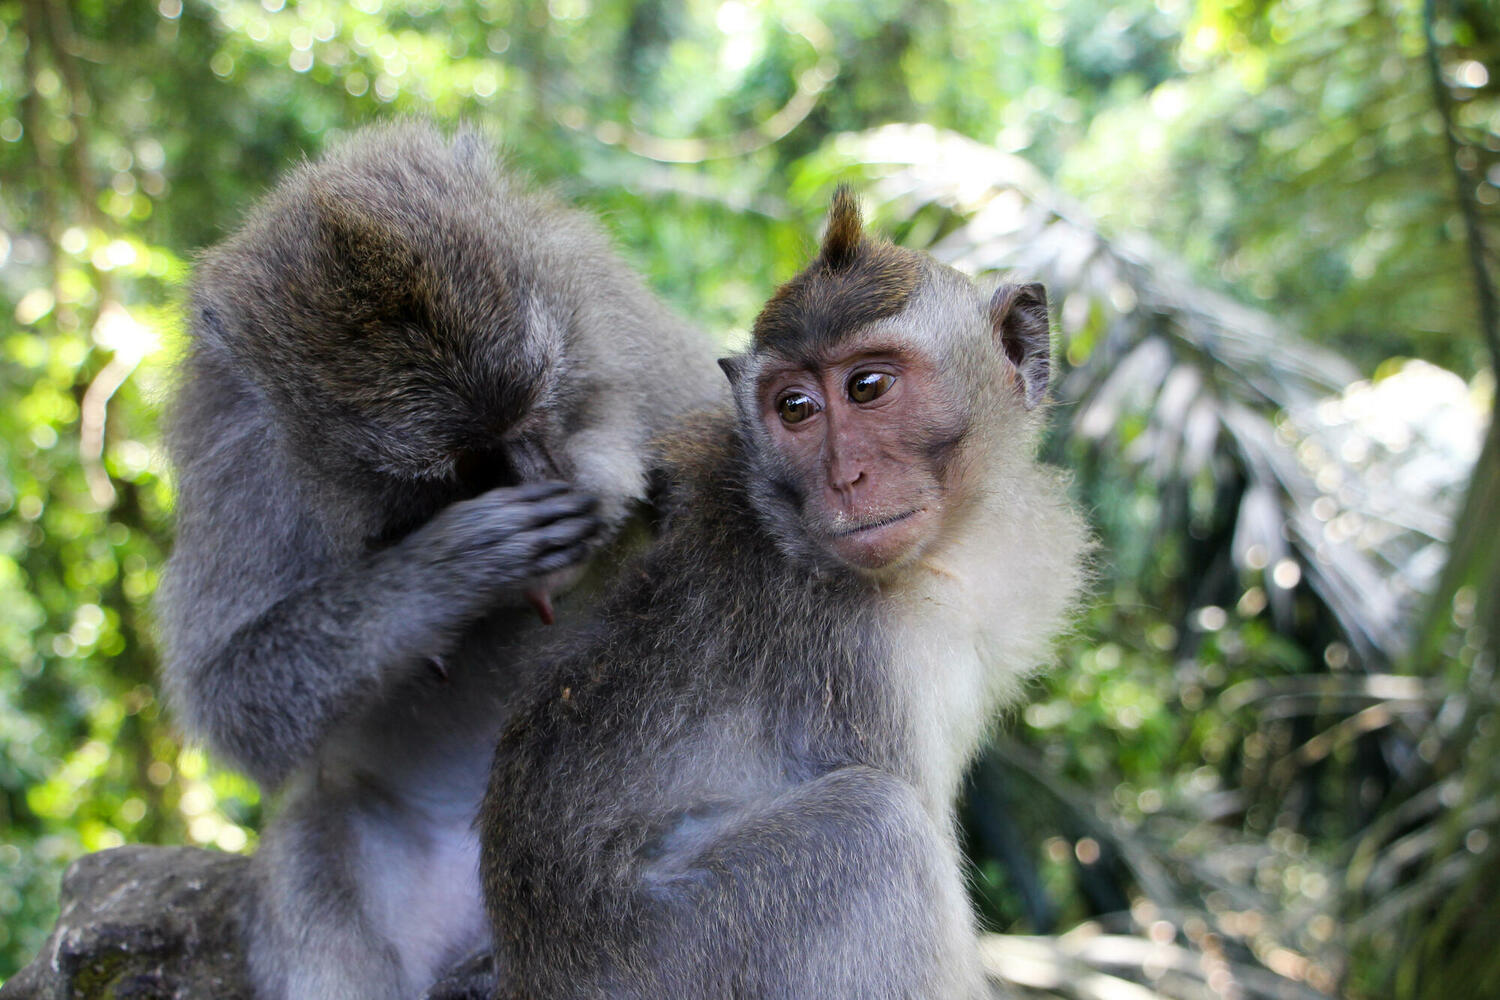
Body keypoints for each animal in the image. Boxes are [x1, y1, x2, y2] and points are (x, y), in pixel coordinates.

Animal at [158, 119, 726, 1000]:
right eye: (461, 466)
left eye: (538, 401)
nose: (546, 476)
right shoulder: (239, 462)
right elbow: (232, 693)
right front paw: (450, 568)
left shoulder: (605, 303)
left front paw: (609, 472)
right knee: (313, 842)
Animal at [474, 189, 1086, 1000]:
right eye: (794, 407)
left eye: (868, 387)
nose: (845, 478)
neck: (940, 558)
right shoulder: (852, 664)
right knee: (873, 827)